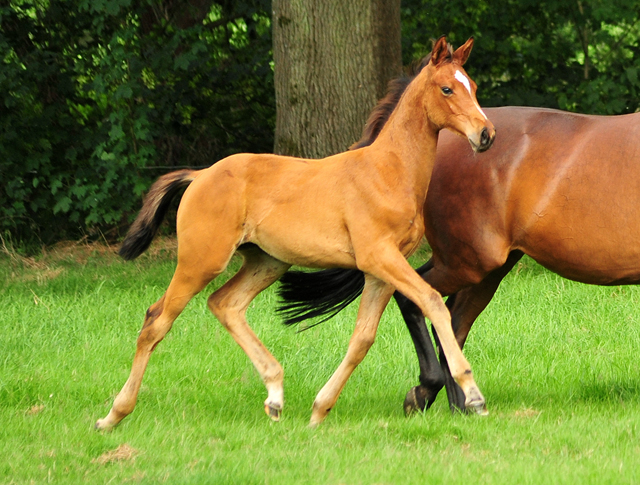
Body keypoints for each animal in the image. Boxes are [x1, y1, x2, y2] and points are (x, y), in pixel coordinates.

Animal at [95, 38, 498, 432]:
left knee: (225, 304)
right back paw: (113, 415)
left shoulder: (379, 271)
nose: (486, 135)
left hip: (267, 262)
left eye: (474, 87)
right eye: (447, 88)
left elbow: (362, 339)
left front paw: (320, 409)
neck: (388, 170)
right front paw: (473, 394)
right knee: (156, 321)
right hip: (201, 261)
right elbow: (431, 301)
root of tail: (199, 175)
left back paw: (274, 396)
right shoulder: (379, 256)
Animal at [278, 62, 640, 414]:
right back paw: (431, 391)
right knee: (420, 301)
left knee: (452, 320)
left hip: (484, 268)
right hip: (468, 262)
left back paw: (461, 403)